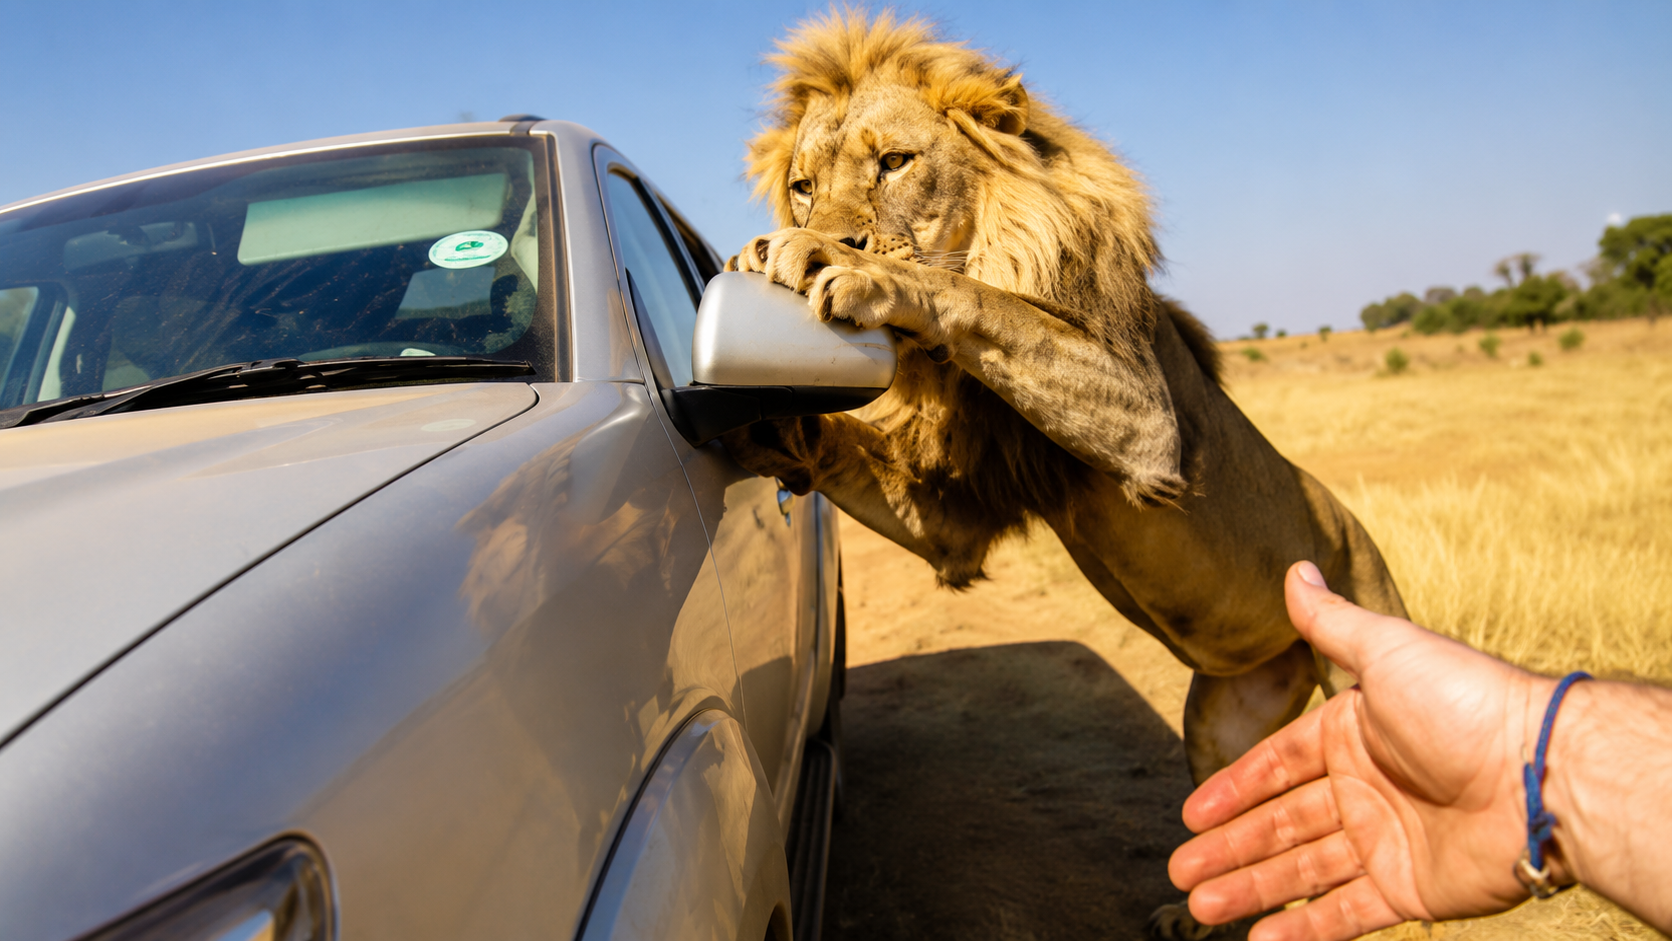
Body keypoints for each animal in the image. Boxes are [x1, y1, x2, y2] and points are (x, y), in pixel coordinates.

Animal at [720, 11, 1408, 936]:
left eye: (894, 162)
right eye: (801, 185)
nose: (827, 231)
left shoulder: (1149, 421)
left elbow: (991, 302)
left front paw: (848, 268)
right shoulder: (957, 515)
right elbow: (845, 446)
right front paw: (760, 414)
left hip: (1365, 653)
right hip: (1219, 722)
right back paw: (1195, 918)